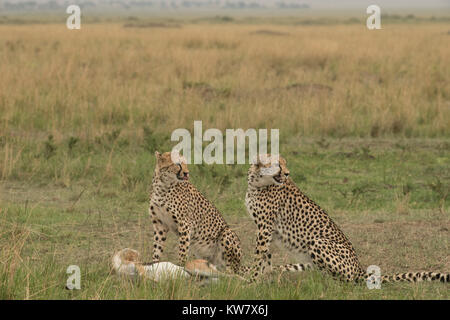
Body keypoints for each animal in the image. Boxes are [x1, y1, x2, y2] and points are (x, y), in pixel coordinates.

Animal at [246, 154, 450, 284]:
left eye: (284, 163)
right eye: (277, 164)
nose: (288, 173)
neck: (256, 183)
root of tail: (359, 267)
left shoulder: (265, 227)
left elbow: (258, 256)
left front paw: (251, 279)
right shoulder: (266, 229)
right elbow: (265, 256)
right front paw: (263, 278)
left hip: (318, 242)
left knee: (345, 280)